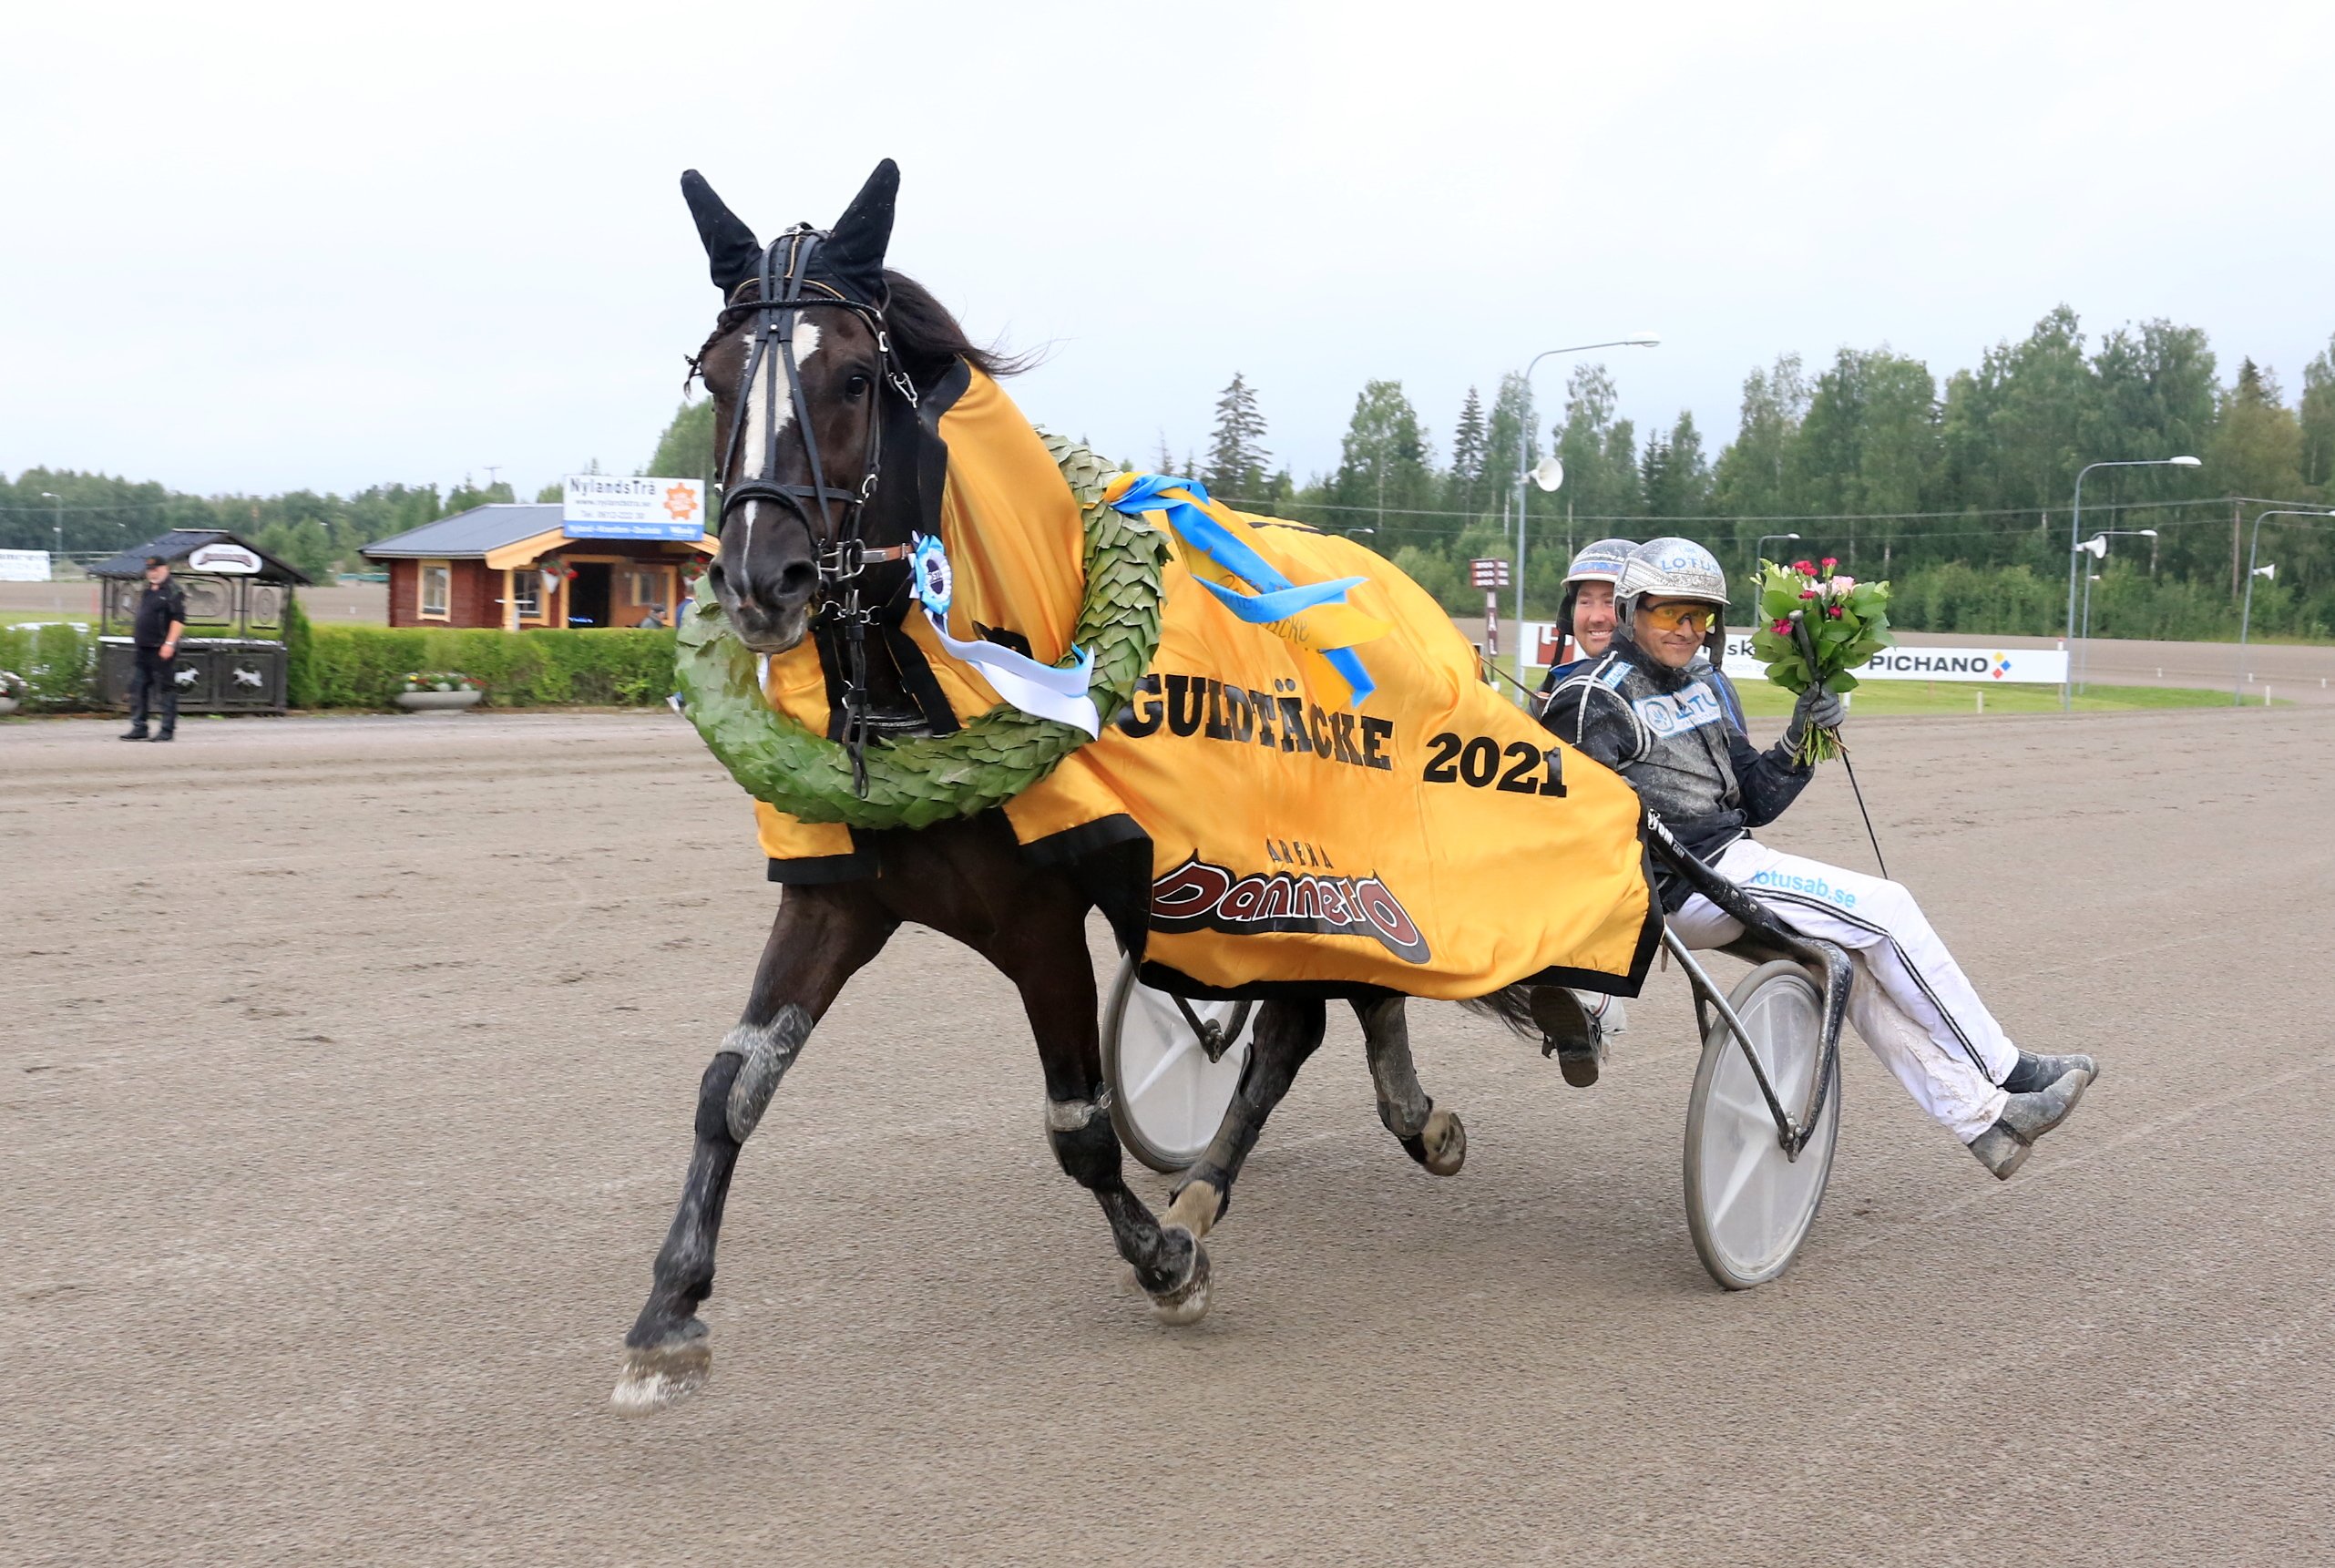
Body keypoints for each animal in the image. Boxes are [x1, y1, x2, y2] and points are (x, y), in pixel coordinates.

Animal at [611, 162, 1550, 1420]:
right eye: (714, 378)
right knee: (1334, 1003)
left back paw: (1259, 1175)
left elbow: (1078, 1126)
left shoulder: (1036, 916)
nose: (763, 580)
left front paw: (1165, 1261)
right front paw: (668, 1310)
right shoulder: (839, 896)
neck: (931, 681)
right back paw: (1361, 1133)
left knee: (1311, 1011)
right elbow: (731, 1084)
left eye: (852, 374)